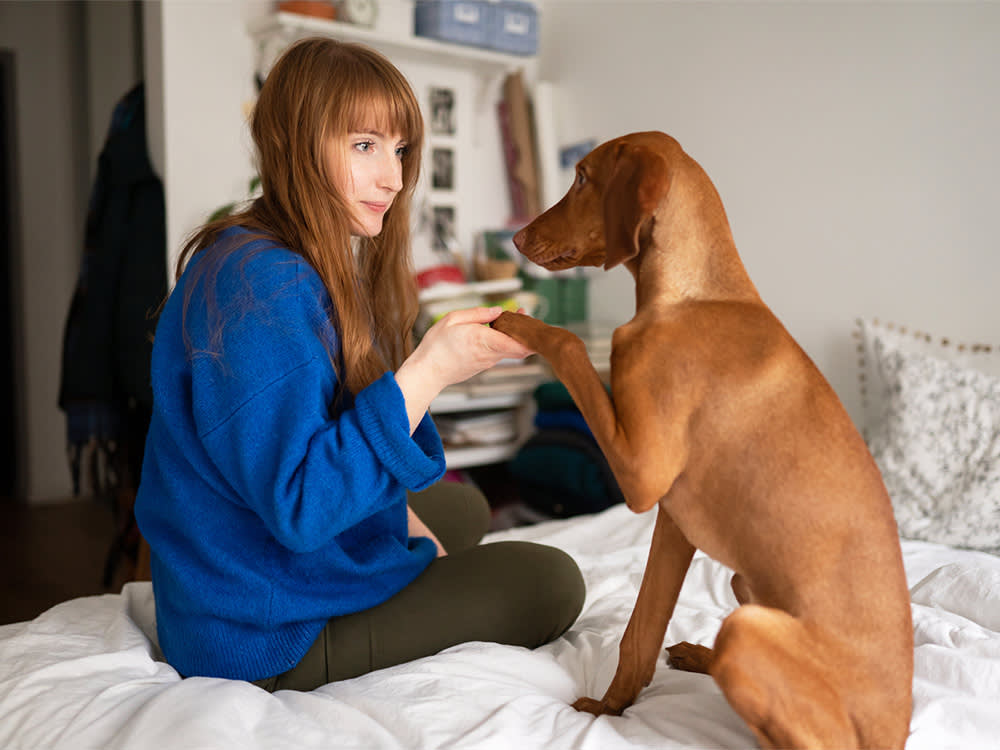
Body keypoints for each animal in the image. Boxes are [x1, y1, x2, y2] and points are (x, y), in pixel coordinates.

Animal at [492, 132, 916, 748]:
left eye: (582, 178)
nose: (517, 237)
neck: (694, 296)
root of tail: (897, 729)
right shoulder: (674, 520)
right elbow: (640, 630)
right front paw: (610, 708)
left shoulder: (643, 477)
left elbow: (570, 345)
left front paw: (519, 324)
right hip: (743, 583)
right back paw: (698, 655)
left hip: (751, 631)